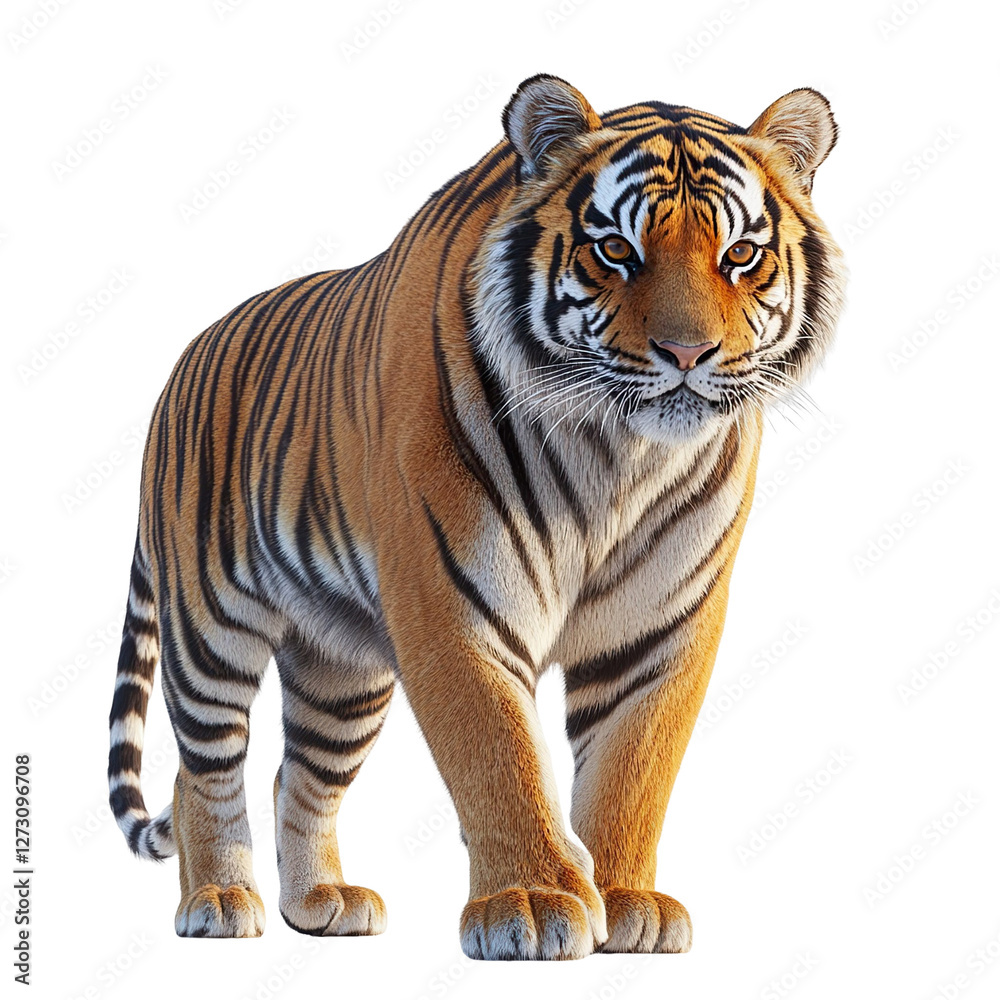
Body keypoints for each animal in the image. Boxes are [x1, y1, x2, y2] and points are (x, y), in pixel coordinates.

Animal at [107, 73, 845, 959]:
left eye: (740, 255)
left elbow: (634, 766)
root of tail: (179, 363)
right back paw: (217, 900)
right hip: (207, 629)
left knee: (298, 773)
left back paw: (321, 901)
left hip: (339, 668)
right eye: (615, 251)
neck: (619, 457)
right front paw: (530, 901)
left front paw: (626, 900)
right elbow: (499, 754)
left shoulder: (661, 623)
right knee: (202, 771)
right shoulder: (450, 600)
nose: (688, 354)